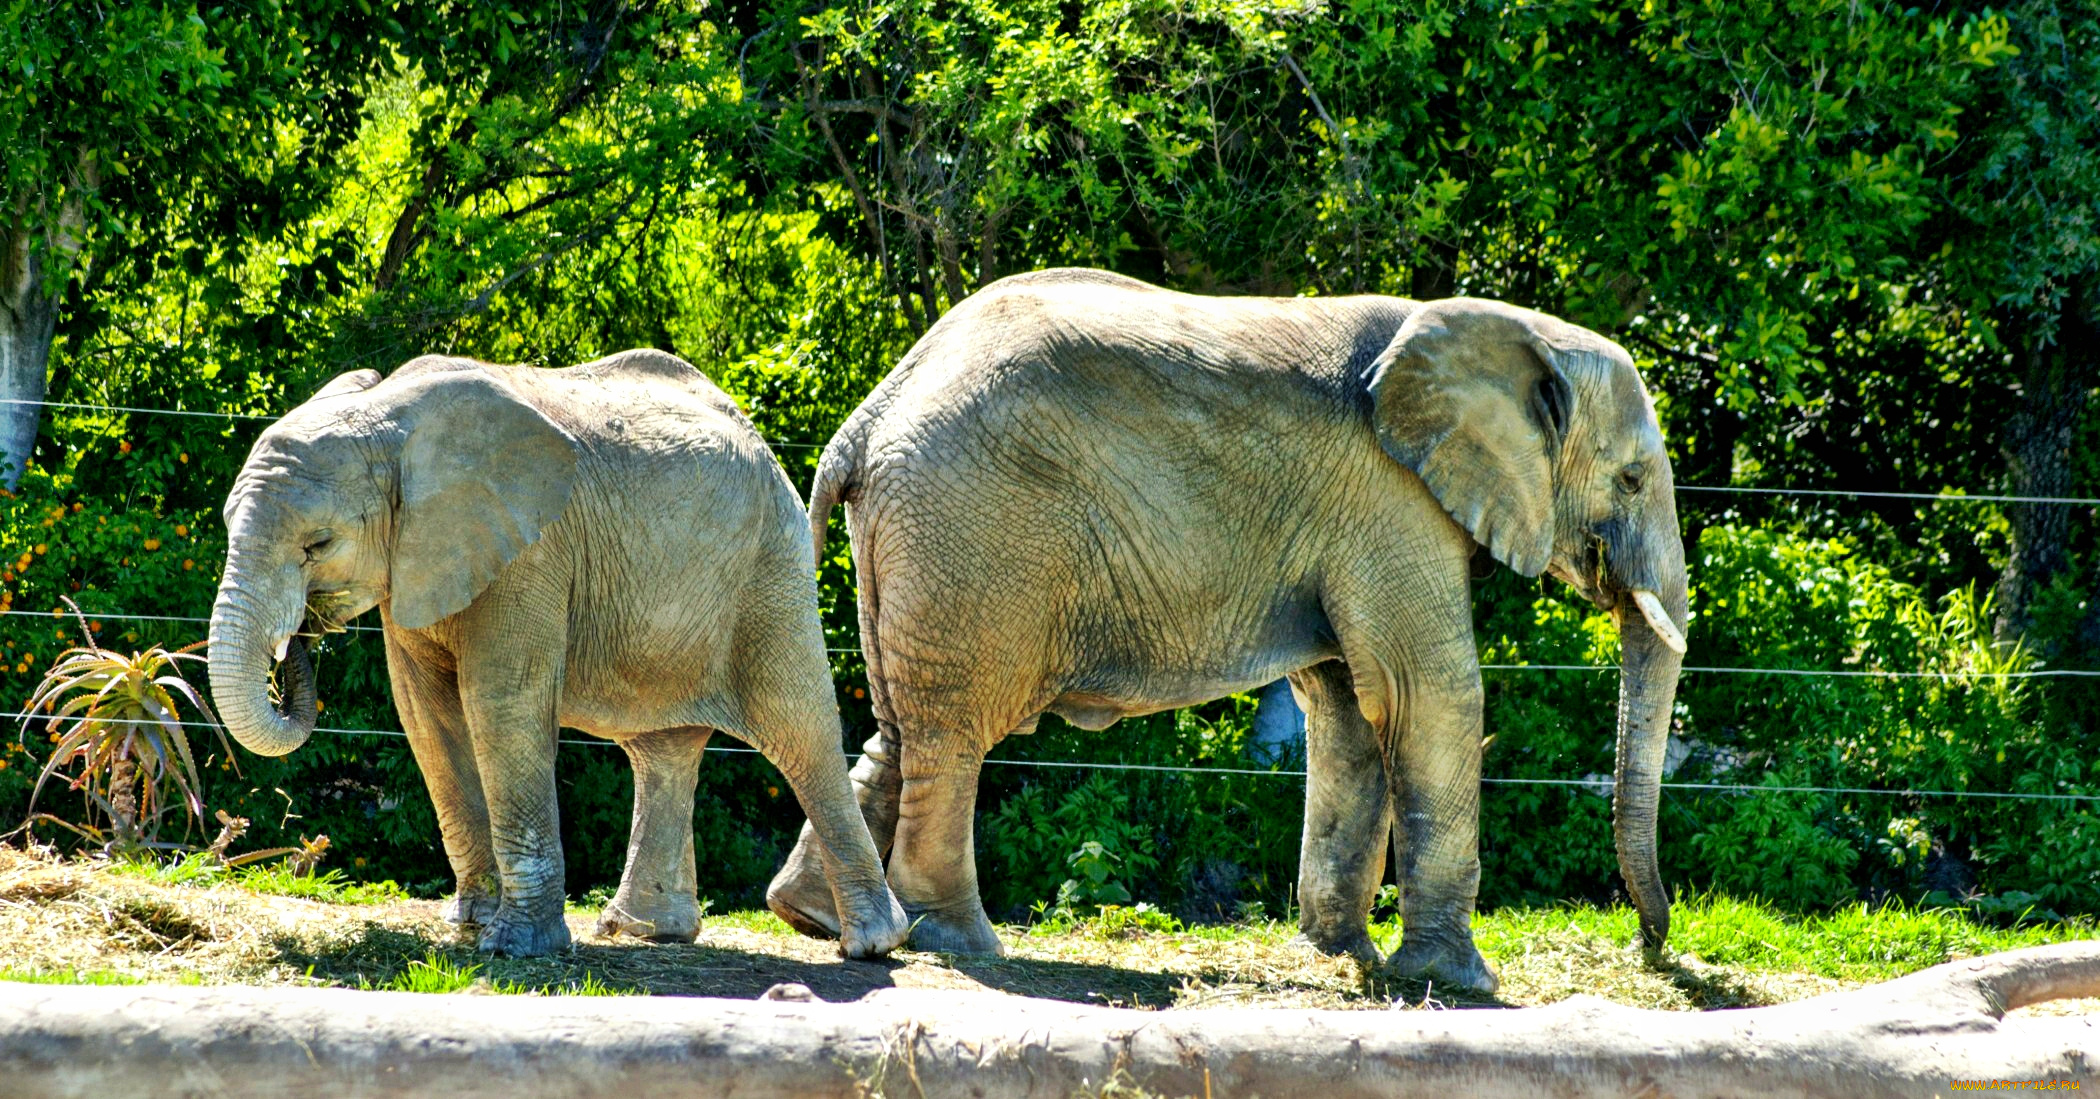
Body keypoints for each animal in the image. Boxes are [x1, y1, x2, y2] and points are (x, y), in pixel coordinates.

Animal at [202, 348, 911, 958]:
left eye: (318, 544)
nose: (303, 634)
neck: (388, 420)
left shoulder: (532, 553)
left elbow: (500, 703)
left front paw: (514, 947)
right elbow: (426, 716)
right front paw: (471, 924)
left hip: (770, 572)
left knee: (801, 728)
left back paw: (871, 945)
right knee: (664, 750)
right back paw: (645, 932)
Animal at [772, 271, 1688, 991]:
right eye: (1632, 479)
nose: (1652, 947)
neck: (1512, 330)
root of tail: (867, 418)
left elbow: (1349, 709)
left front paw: (1343, 955)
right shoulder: (1392, 497)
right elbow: (1427, 692)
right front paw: (1459, 982)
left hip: (924, 541)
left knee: (901, 720)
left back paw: (816, 917)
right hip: (975, 529)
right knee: (955, 730)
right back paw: (959, 940)